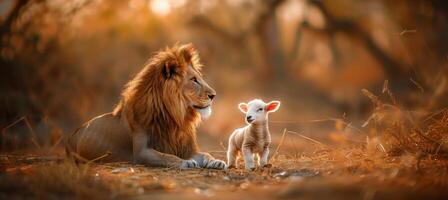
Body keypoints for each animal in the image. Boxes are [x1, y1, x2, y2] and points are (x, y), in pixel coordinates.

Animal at [65, 43, 228, 169]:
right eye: (194, 80)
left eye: (199, 78)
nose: (213, 95)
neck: (175, 117)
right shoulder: (141, 152)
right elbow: (165, 156)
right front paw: (185, 162)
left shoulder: (187, 148)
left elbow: (205, 154)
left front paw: (217, 162)